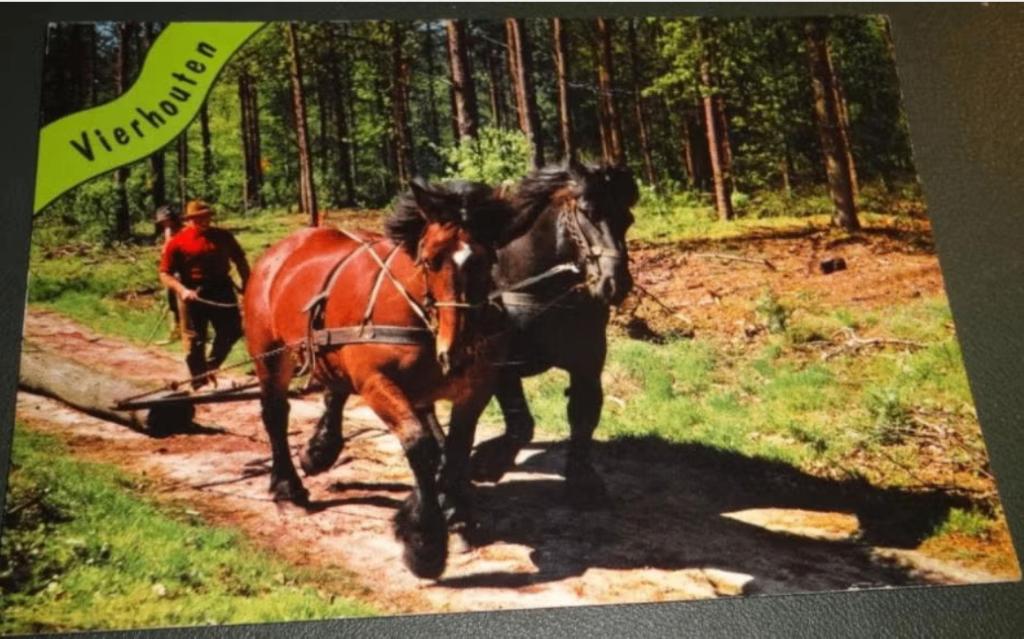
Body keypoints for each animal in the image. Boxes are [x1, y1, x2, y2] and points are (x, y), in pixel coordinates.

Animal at [243, 179, 521, 578]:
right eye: (430, 260)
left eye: (486, 259)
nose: (458, 350)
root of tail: (279, 252)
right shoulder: (376, 383)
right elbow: (420, 446)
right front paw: (424, 541)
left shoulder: (474, 390)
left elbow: (455, 450)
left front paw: (455, 514)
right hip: (270, 355)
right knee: (276, 415)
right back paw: (287, 487)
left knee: (334, 391)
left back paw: (319, 450)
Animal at [465, 160, 638, 509]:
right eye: (587, 212)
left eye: (628, 219)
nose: (616, 284)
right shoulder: (501, 366)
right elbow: (521, 423)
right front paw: (488, 463)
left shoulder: (587, 365)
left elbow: (583, 418)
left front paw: (582, 480)